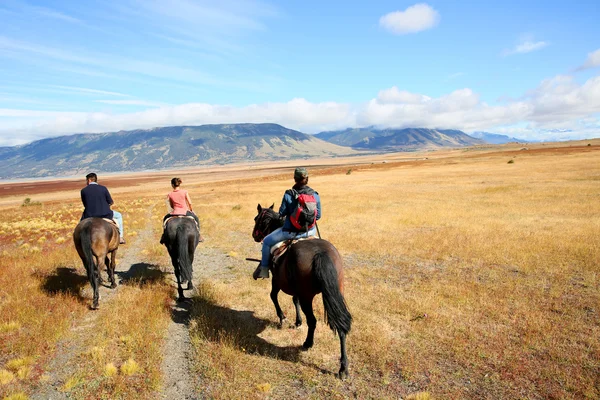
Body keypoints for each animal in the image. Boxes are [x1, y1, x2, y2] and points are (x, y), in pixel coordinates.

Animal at [252, 203, 352, 378]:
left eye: (256, 219)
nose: (254, 235)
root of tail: (320, 253)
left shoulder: (276, 280)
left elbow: (273, 296)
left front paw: (283, 318)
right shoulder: (296, 288)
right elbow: (294, 299)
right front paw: (297, 321)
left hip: (307, 297)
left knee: (312, 321)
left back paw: (307, 343)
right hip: (336, 293)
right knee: (340, 324)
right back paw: (343, 368)